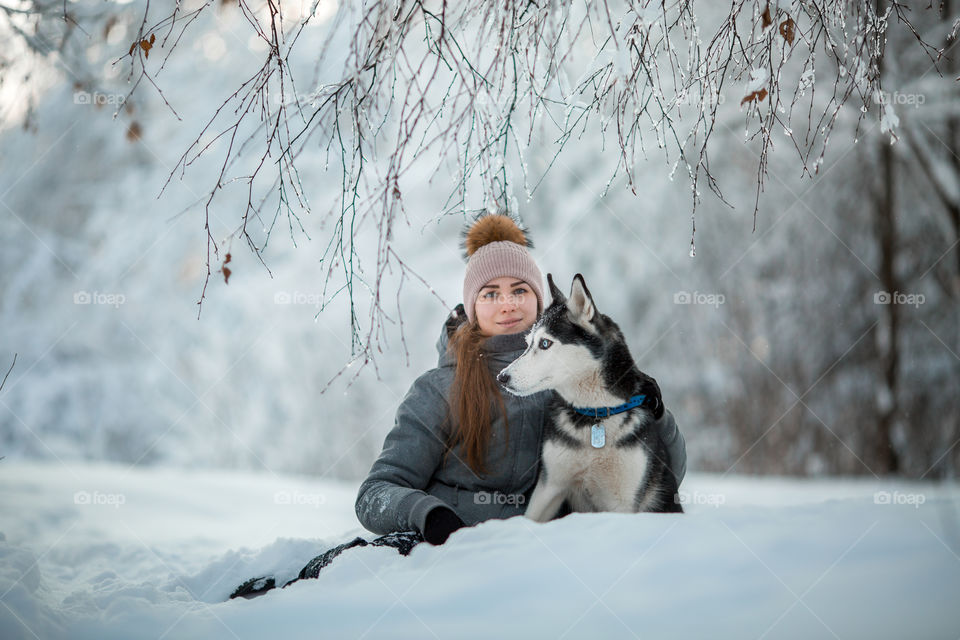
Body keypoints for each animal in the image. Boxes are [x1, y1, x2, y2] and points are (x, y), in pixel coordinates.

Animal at [496, 272, 684, 520]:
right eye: (528, 344)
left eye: (545, 343)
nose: (502, 377)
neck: (595, 414)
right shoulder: (550, 487)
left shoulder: (623, 501)